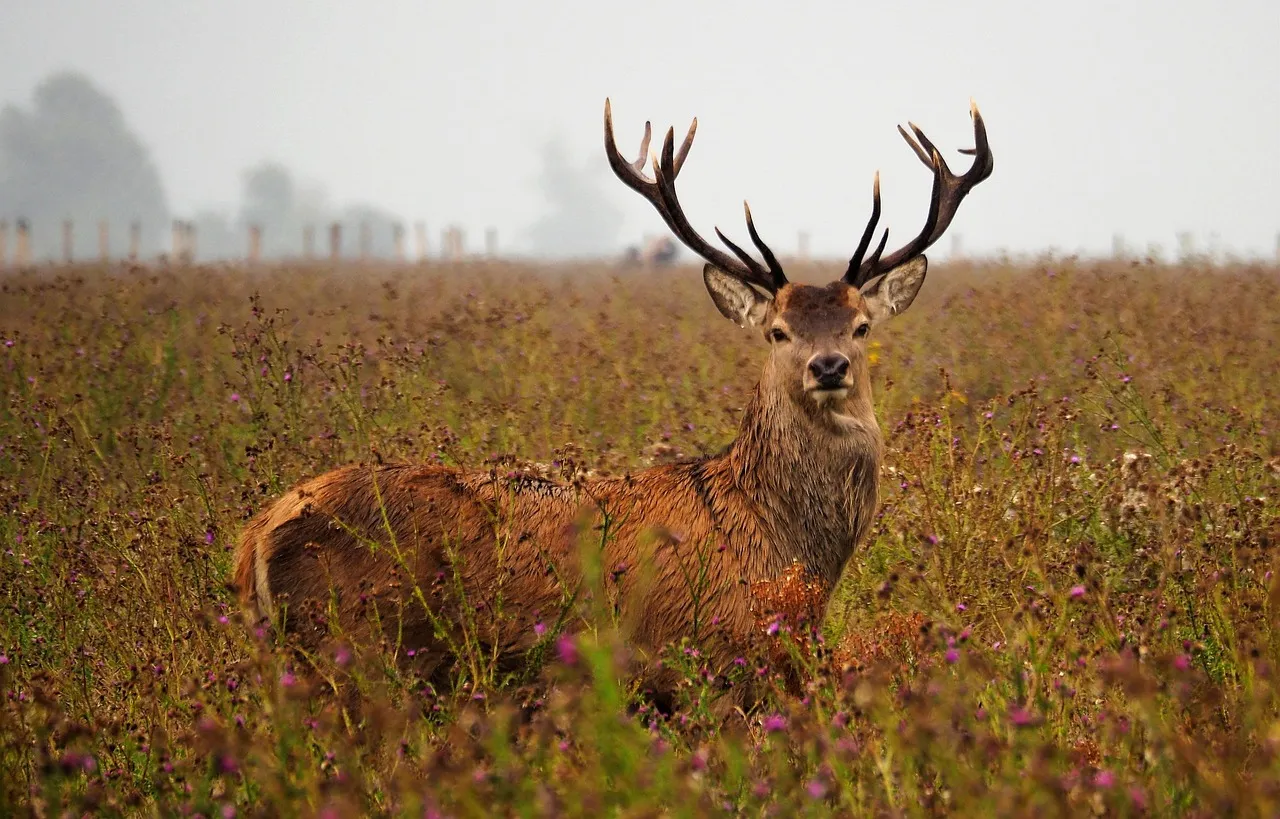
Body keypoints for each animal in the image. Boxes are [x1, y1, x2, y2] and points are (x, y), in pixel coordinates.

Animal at [233, 98, 993, 705]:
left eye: (860, 325)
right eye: (778, 330)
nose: (828, 365)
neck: (782, 546)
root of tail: (256, 539)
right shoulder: (708, 657)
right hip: (359, 649)